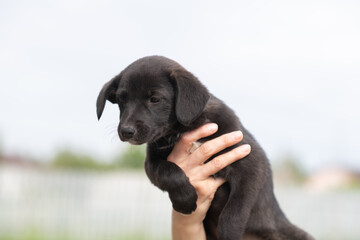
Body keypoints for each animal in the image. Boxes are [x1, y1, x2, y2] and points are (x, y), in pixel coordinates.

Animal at [97, 55, 314, 240]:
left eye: (155, 99)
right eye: (121, 100)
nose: (126, 131)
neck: (183, 129)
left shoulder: (251, 164)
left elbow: (234, 211)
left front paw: (229, 233)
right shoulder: (151, 164)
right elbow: (169, 171)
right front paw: (185, 201)